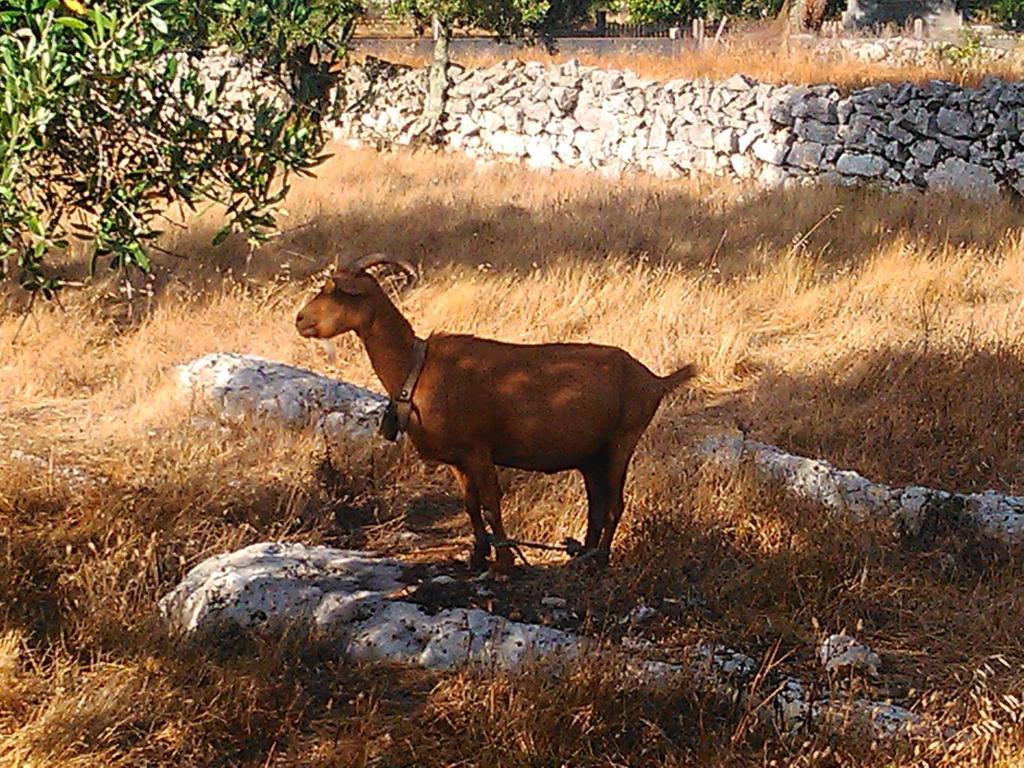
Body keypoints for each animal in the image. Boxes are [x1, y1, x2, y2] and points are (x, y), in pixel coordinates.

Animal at [296, 256, 696, 573]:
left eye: (336, 290)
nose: (300, 320)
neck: (417, 368)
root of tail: (654, 380)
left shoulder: (479, 449)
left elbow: (491, 504)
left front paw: (504, 562)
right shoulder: (459, 459)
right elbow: (471, 505)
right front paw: (477, 556)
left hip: (622, 441)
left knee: (614, 504)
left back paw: (599, 560)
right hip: (591, 455)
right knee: (597, 504)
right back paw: (581, 556)